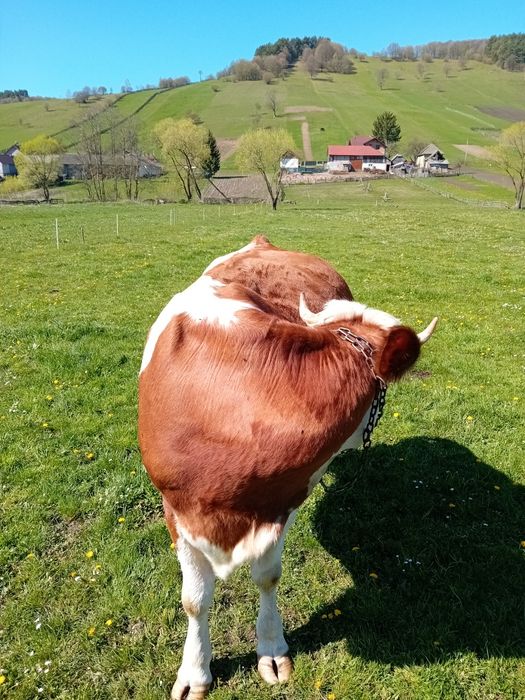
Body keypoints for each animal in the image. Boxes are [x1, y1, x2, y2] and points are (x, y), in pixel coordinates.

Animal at [138, 236, 437, 699]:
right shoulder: (177, 509)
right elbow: (194, 599)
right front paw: (194, 671)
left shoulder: (285, 500)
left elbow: (267, 577)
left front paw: (272, 648)